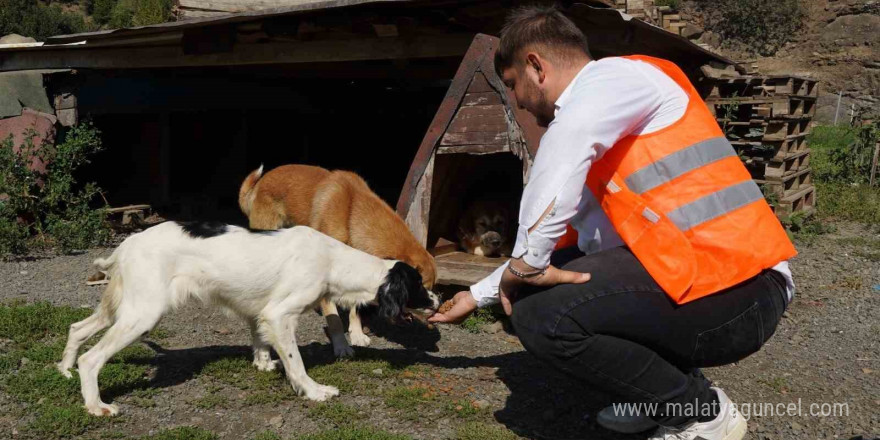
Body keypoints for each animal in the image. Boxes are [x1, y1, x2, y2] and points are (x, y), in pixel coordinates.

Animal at [55, 222, 440, 414]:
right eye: (420, 286)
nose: (438, 302)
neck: (332, 260)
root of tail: (128, 242)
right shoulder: (279, 313)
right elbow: (296, 362)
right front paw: (313, 391)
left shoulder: (260, 311)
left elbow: (260, 341)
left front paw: (263, 364)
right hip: (143, 313)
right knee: (92, 358)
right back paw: (96, 406)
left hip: (124, 308)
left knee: (77, 329)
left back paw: (64, 370)